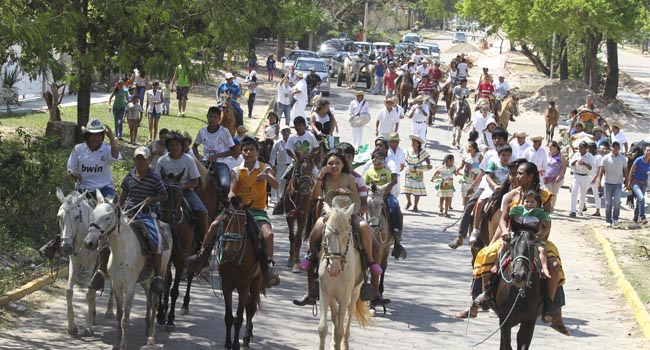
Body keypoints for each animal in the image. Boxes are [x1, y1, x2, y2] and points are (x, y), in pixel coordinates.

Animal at [56, 190, 114, 338]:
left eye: (77, 216)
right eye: (59, 216)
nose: (66, 247)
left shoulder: (93, 263)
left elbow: (90, 293)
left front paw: (88, 328)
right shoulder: (73, 262)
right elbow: (69, 291)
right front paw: (72, 327)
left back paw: (109, 311)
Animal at [82, 191, 171, 350]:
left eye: (107, 217)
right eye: (92, 215)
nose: (88, 242)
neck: (122, 250)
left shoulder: (130, 285)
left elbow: (126, 317)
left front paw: (123, 345)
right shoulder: (117, 283)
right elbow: (119, 315)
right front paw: (118, 343)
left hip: (159, 274)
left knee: (154, 303)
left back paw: (151, 337)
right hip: (145, 280)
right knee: (149, 299)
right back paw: (147, 326)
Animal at [156, 172, 199, 330]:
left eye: (178, 194)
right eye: (161, 192)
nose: (165, 216)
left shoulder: (180, 260)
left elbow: (174, 290)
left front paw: (170, 319)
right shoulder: (166, 259)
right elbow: (165, 284)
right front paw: (161, 314)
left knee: (190, 275)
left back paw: (185, 305)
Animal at [215, 197, 260, 350]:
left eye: (244, 222)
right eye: (224, 220)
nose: (229, 251)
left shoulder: (244, 286)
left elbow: (239, 318)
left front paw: (235, 344)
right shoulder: (226, 285)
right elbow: (229, 317)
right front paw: (228, 343)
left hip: (256, 281)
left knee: (251, 307)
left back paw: (246, 338)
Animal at [318, 196, 370, 350]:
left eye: (347, 237)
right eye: (326, 235)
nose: (333, 267)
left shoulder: (345, 296)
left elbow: (339, 331)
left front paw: (339, 343)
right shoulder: (324, 293)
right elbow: (323, 328)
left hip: (355, 292)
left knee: (350, 313)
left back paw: (345, 344)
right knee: (335, 316)